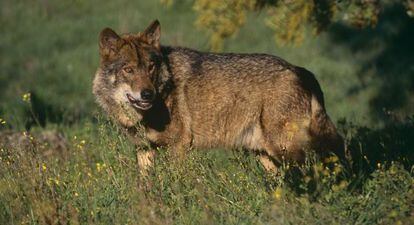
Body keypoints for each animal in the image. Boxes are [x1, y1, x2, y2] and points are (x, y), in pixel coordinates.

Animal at [92, 20, 344, 173]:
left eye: (151, 67)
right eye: (129, 70)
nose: (147, 94)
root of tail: (299, 70)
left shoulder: (179, 147)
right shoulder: (143, 150)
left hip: (285, 151)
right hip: (265, 155)